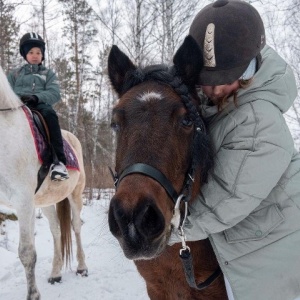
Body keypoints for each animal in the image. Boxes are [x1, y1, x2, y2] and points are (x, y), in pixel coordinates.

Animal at [0, 66, 88, 300]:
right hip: (46, 202)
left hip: (76, 194)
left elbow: (27, 253)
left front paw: (33, 295)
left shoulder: (23, 202)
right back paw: (55, 273)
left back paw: (82, 268)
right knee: (56, 231)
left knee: (76, 227)